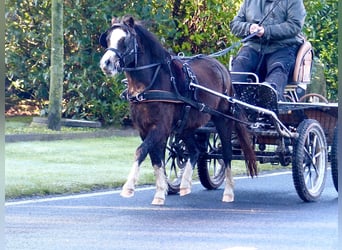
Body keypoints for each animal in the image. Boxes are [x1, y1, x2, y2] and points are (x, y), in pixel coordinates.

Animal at [99, 15, 256, 205]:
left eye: (125, 40)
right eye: (108, 39)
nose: (106, 63)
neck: (149, 85)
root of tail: (223, 69)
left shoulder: (161, 127)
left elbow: (141, 151)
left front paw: (128, 187)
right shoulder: (144, 130)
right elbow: (155, 158)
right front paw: (160, 192)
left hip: (222, 120)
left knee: (226, 153)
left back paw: (228, 192)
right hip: (185, 126)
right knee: (195, 151)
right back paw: (185, 184)